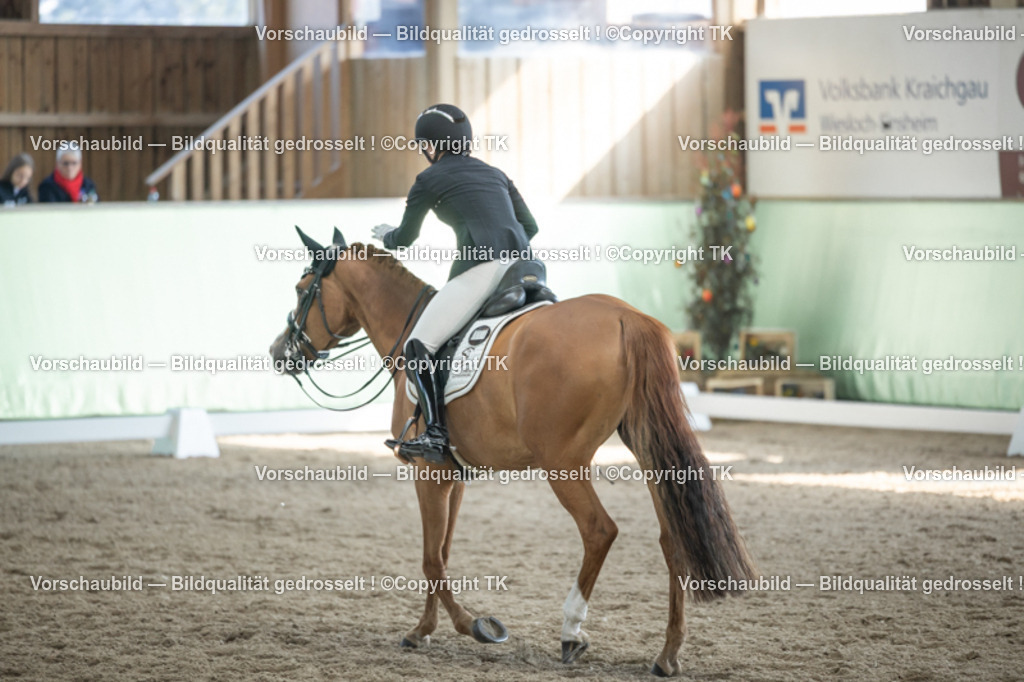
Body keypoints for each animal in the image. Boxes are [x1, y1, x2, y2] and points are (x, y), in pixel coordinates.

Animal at [269, 228, 757, 677]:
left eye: (301, 290)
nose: (278, 353)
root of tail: (627, 318)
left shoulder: (427, 472)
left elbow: (431, 559)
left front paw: (474, 625)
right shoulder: (452, 475)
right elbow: (443, 552)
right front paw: (423, 630)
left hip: (563, 463)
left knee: (599, 530)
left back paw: (571, 632)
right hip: (647, 447)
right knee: (673, 535)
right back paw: (667, 653)